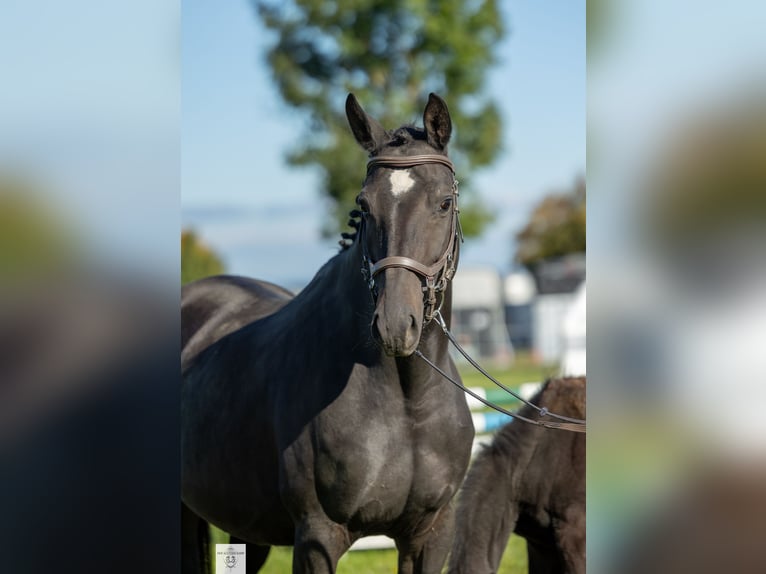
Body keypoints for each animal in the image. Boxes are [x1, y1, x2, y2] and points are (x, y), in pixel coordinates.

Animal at [183, 92, 476, 572]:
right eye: (365, 204)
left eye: (444, 204)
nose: (395, 325)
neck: (407, 402)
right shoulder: (318, 535)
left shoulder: (431, 534)